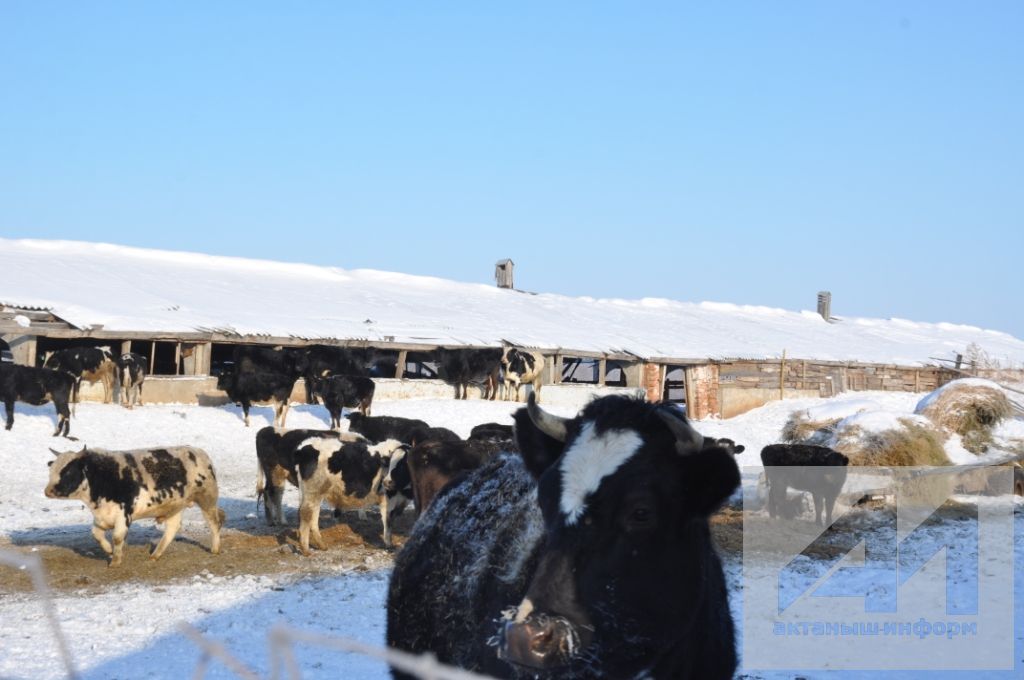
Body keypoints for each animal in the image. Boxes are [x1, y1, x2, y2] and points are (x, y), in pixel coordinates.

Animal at [44, 444, 226, 565]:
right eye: (51, 470)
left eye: (68, 471)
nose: (48, 491)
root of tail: (198, 452)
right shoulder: (102, 517)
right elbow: (96, 534)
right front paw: (109, 550)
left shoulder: (124, 514)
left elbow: (117, 538)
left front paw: (115, 561)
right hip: (175, 506)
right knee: (172, 528)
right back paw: (155, 555)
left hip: (207, 498)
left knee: (214, 522)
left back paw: (215, 548)